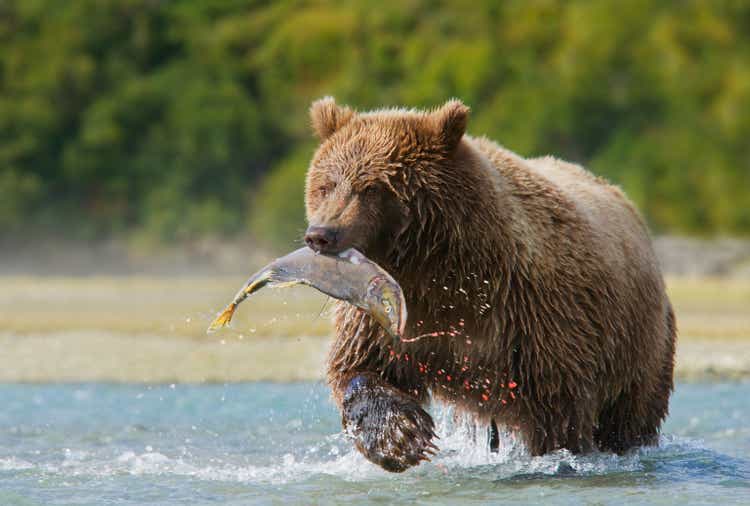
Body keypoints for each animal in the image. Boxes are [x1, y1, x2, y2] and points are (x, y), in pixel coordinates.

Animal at [302, 98, 680, 470]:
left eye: (372, 188)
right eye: (326, 185)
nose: (321, 234)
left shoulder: (532, 316)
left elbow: (558, 410)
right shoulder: (388, 314)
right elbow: (362, 364)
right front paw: (398, 436)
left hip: (639, 345)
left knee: (629, 416)